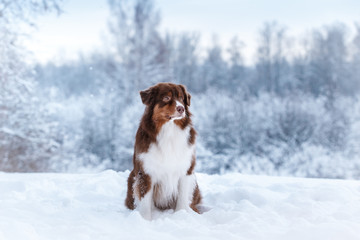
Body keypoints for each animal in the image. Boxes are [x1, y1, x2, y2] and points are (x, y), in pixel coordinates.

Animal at [125, 82, 201, 219]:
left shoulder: (186, 169)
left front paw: (181, 216)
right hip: (132, 178)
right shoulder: (145, 172)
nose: (181, 108)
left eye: (181, 98)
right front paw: (144, 220)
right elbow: (145, 201)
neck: (169, 130)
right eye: (166, 98)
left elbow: (182, 198)